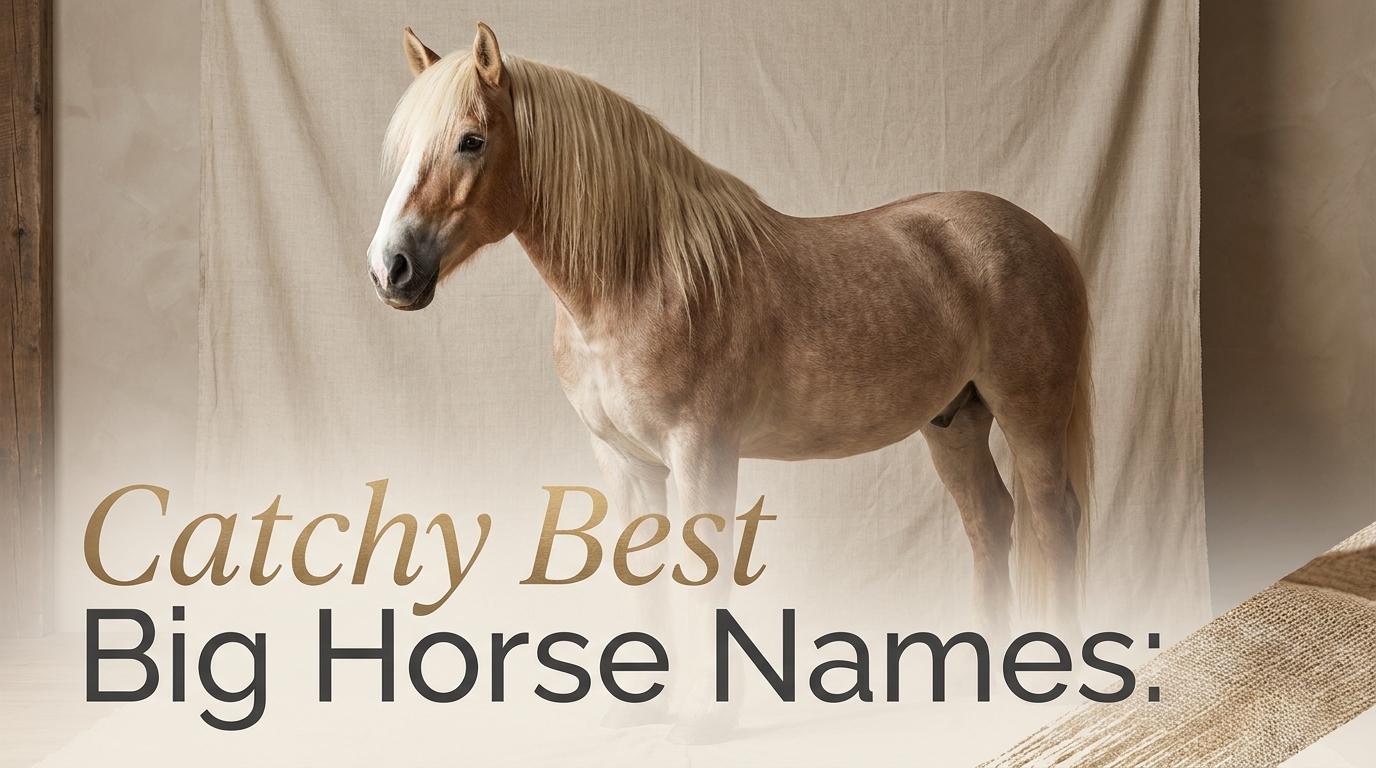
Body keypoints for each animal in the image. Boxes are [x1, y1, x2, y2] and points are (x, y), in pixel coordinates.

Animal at [368, 22, 1093, 741]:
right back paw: (980, 677)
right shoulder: (624, 461)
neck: (644, 280)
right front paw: (639, 709)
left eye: (471, 140)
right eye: (404, 149)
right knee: (990, 520)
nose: (390, 268)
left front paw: (706, 717)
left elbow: (703, 569)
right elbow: (642, 574)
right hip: (953, 422)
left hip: (1029, 413)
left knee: (1054, 519)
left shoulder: (701, 449)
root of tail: (1046, 236)